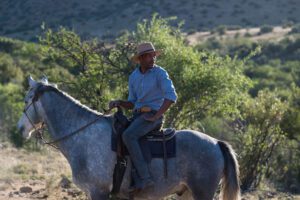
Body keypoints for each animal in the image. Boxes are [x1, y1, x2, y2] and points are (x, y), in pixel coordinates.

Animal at [17, 76, 240, 199]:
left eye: (27, 100)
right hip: (185, 192)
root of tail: (216, 143)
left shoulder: (98, 192)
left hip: (202, 192)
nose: (20, 129)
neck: (83, 137)